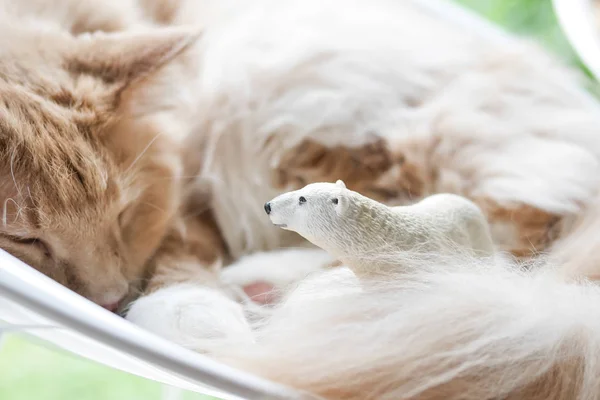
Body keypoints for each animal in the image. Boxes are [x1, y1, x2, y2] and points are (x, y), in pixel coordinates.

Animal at [5, 0, 600, 396]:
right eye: (24, 239)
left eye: (124, 214)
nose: (108, 300)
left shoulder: (189, 167)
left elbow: (180, 247)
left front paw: (191, 313)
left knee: (469, 254)